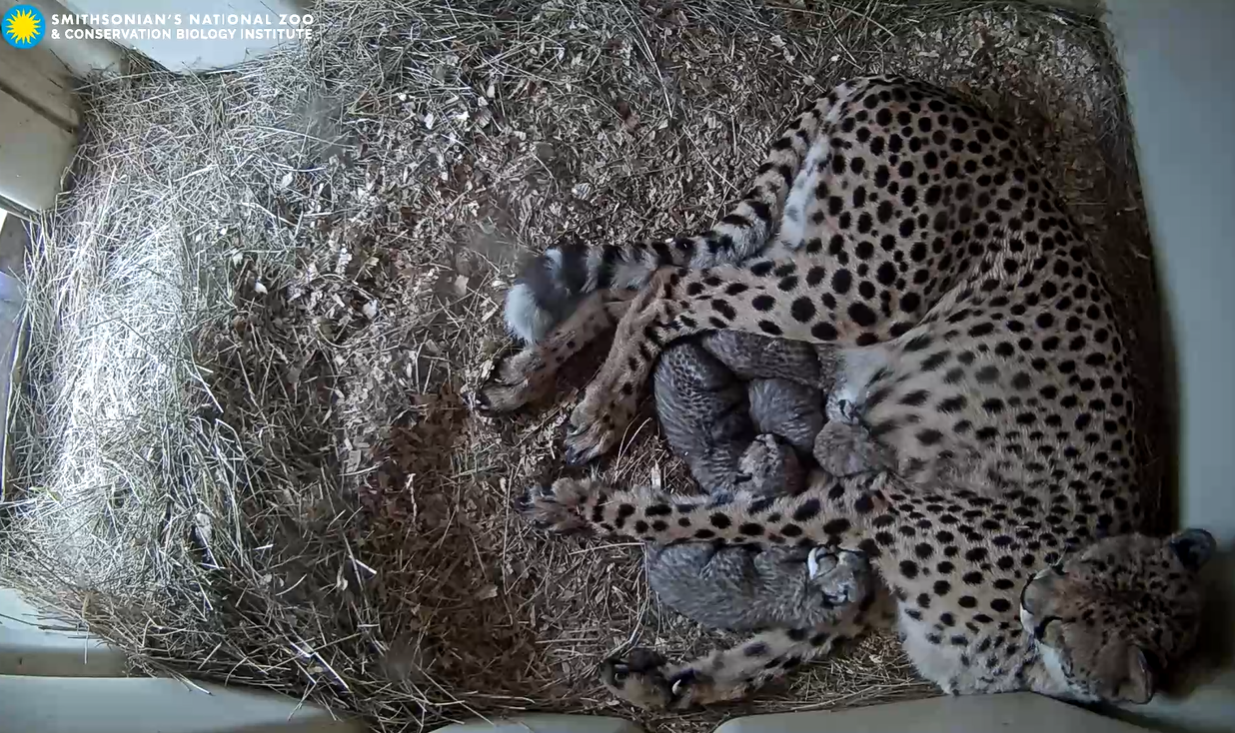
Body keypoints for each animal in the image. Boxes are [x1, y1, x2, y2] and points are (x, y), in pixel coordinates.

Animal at [478, 75, 1218, 710]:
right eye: (1076, 580)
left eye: (1080, 615)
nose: (1036, 602)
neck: (1030, 661)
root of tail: (915, 81)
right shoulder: (875, 506)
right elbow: (713, 516)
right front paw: (577, 507)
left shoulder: (874, 572)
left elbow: (790, 637)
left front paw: (676, 682)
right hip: (853, 287)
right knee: (670, 287)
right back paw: (598, 411)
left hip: (803, 252)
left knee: (642, 283)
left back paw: (526, 378)